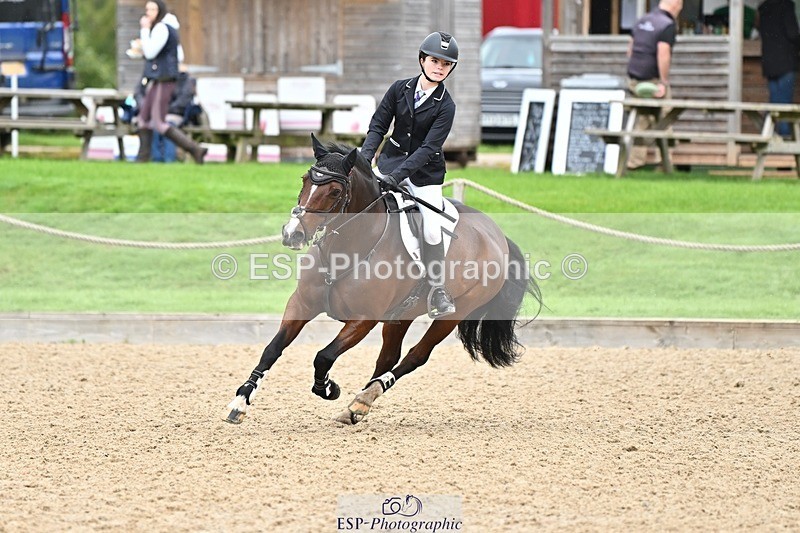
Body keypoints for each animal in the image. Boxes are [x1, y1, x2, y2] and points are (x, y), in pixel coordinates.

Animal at [224, 135, 540, 425]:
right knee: (388, 357)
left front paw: (328, 388)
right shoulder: (301, 305)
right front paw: (240, 401)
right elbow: (272, 349)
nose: (293, 234)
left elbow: (323, 356)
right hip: (400, 316)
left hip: (454, 313)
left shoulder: (363, 319)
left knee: (415, 356)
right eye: (304, 180)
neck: (347, 249)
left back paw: (362, 400)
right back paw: (357, 404)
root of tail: (497, 234)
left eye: (335, 191)